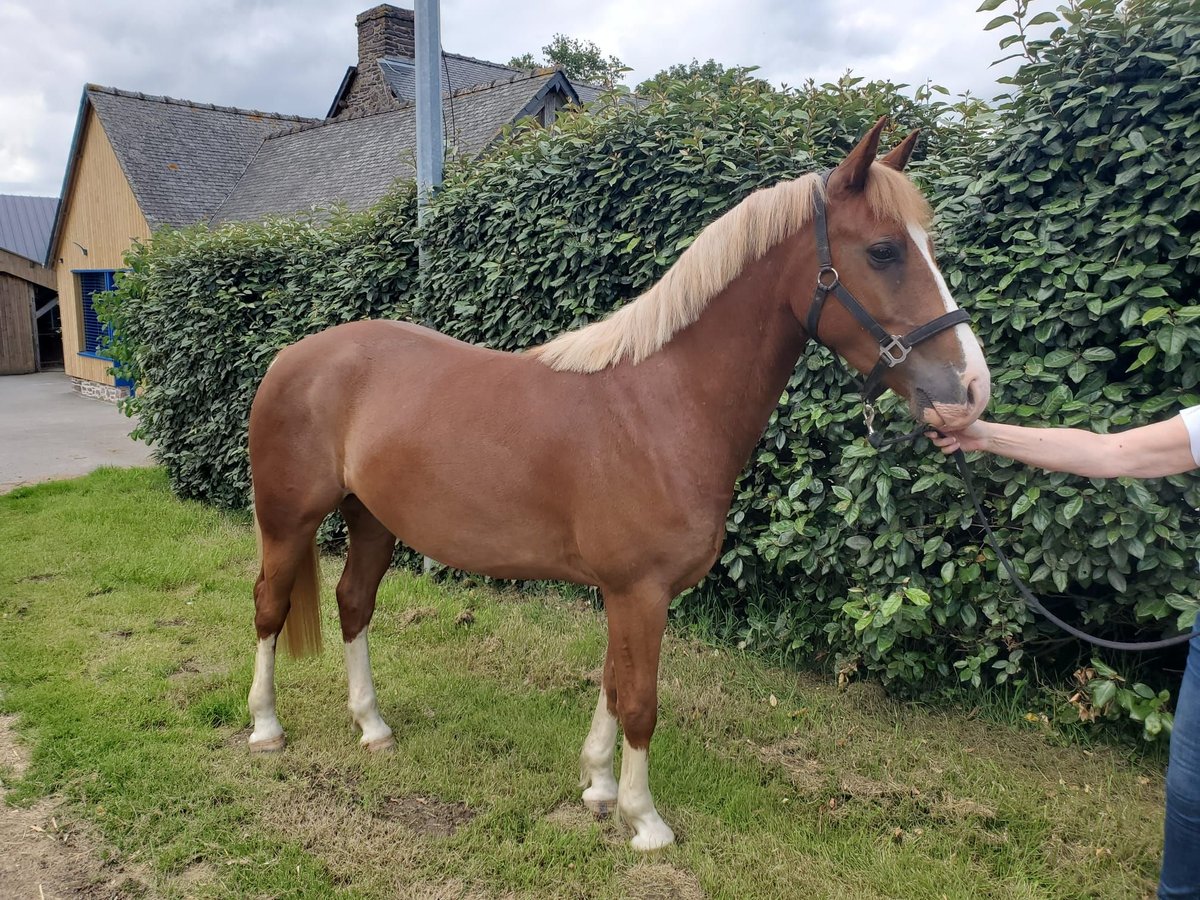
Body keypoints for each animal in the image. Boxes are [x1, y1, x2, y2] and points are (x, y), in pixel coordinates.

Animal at [246, 121, 993, 854]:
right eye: (884, 251)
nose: (970, 390)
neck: (661, 403)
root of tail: (293, 355)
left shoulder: (621, 591)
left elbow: (610, 683)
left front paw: (600, 789)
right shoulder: (640, 590)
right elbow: (639, 699)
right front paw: (645, 821)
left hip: (372, 518)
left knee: (353, 603)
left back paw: (372, 727)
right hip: (287, 521)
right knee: (270, 607)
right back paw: (266, 729)